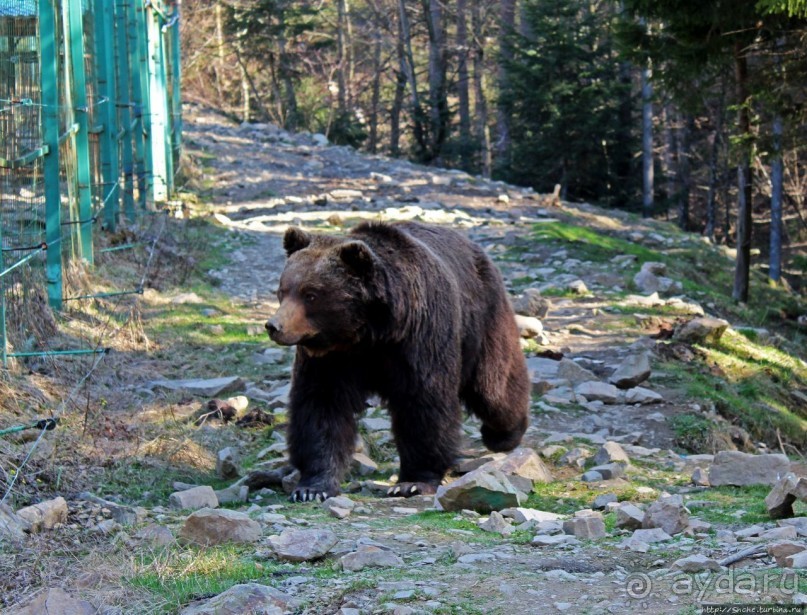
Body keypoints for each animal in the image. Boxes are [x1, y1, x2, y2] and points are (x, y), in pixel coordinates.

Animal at [266, 224, 532, 502]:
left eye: (311, 294)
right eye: (283, 290)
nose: (274, 326)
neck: (369, 333)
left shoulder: (420, 338)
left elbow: (423, 402)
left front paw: (412, 482)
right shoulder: (332, 358)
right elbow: (320, 405)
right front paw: (312, 487)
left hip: (482, 319)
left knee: (493, 387)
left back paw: (504, 435)